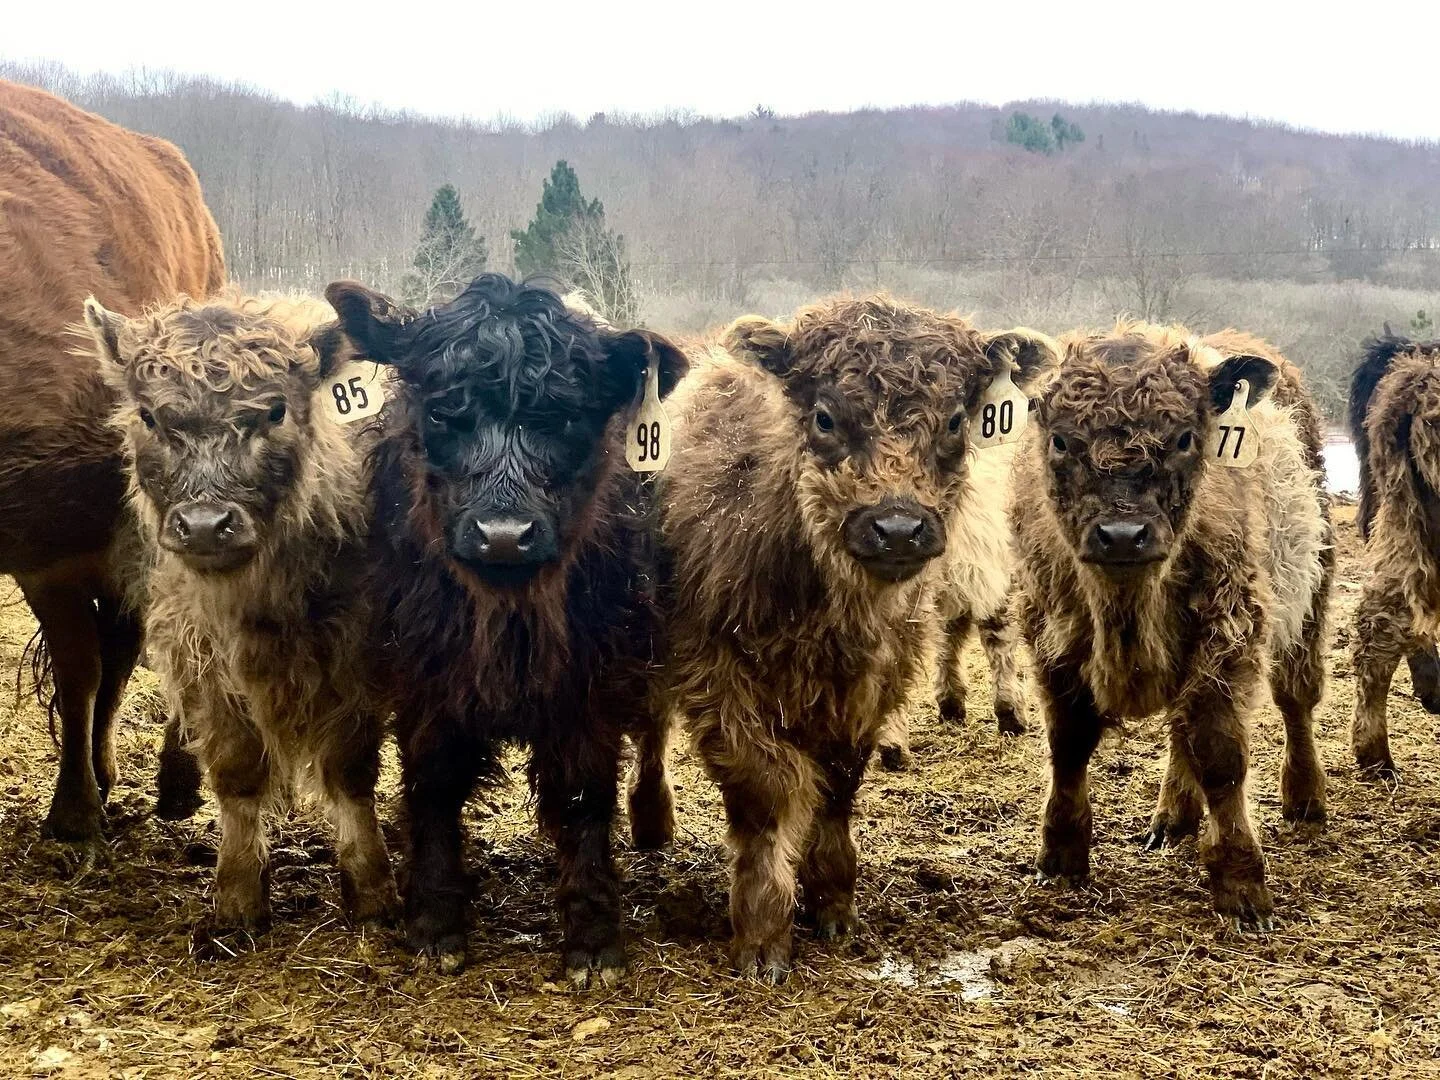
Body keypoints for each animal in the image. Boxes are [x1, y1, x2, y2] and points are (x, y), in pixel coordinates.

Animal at [82, 292, 398, 933]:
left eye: (275, 410)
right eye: (149, 417)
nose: (205, 525)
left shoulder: (359, 656)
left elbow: (351, 770)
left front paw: (373, 887)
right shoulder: (198, 653)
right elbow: (237, 771)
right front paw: (236, 894)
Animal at [314, 273, 687, 982]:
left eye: (566, 417)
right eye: (441, 414)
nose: (505, 535)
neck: (508, 616)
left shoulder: (591, 684)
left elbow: (582, 793)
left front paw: (592, 936)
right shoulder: (424, 678)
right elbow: (433, 783)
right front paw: (436, 921)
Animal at [1013, 321, 1331, 933]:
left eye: (1184, 438)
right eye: (1061, 440)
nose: (1121, 534)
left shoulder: (1231, 630)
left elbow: (1220, 753)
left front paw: (1240, 880)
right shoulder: (1052, 639)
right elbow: (1069, 743)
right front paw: (1060, 854)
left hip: (1311, 593)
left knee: (1296, 699)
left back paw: (1304, 798)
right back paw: (1174, 818)